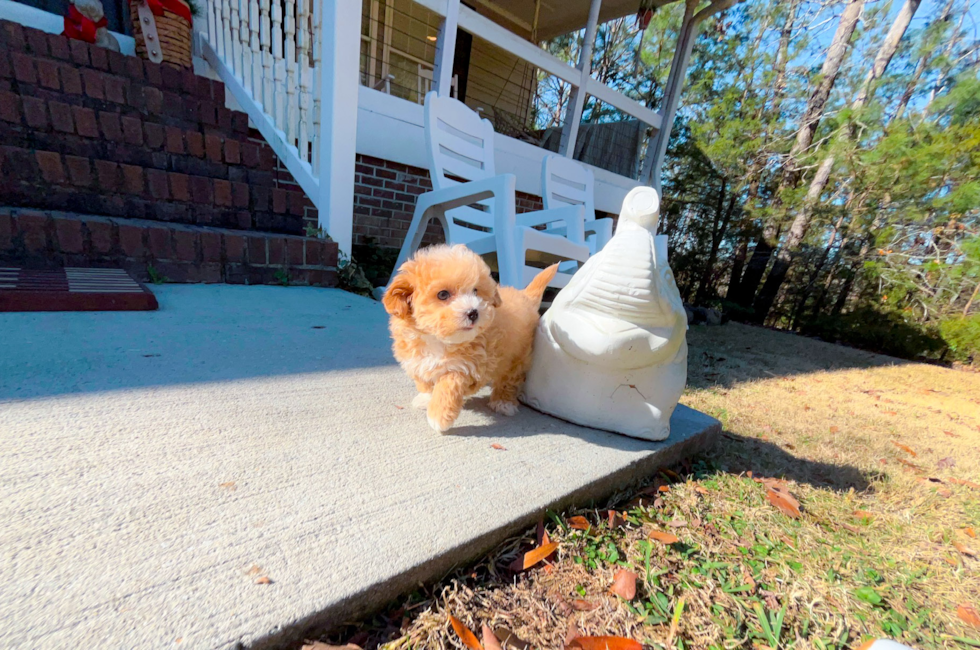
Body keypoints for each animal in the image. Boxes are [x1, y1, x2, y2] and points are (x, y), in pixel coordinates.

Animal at [384, 243, 560, 430]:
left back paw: (503, 402)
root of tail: (526, 296)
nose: (473, 312)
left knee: (509, 379)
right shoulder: (416, 360)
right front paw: (425, 398)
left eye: (475, 291)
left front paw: (437, 417)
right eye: (443, 294)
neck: (437, 339)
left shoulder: (466, 367)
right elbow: (424, 381)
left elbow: (448, 385)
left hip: (516, 357)